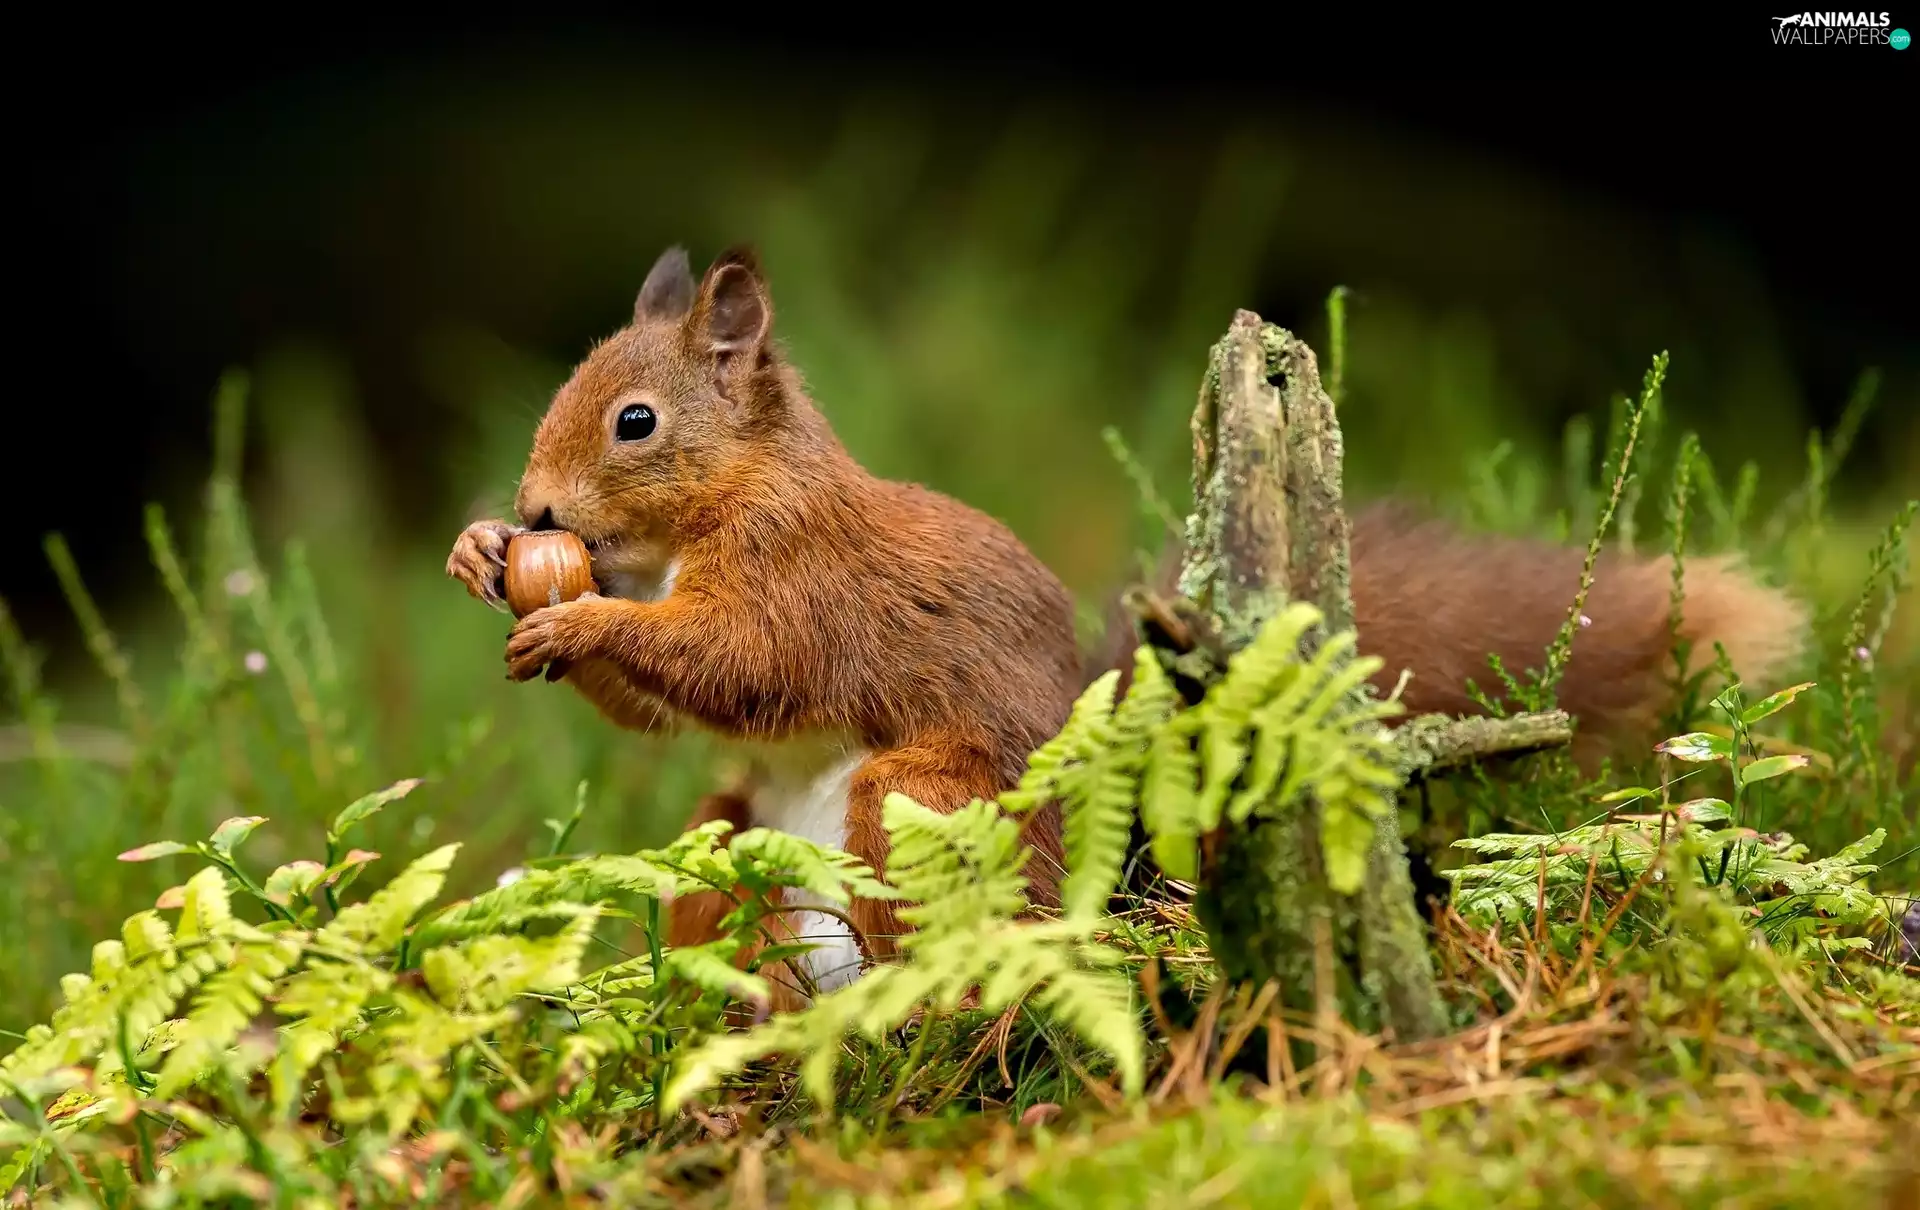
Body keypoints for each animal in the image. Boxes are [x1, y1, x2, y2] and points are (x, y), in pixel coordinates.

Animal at [447, 245, 1811, 1008]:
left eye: (634, 421)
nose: (536, 510)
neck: (724, 502)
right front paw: (483, 556)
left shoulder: (802, 576)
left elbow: (740, 662)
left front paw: (578, 623)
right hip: (730, 836)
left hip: (920, 804)